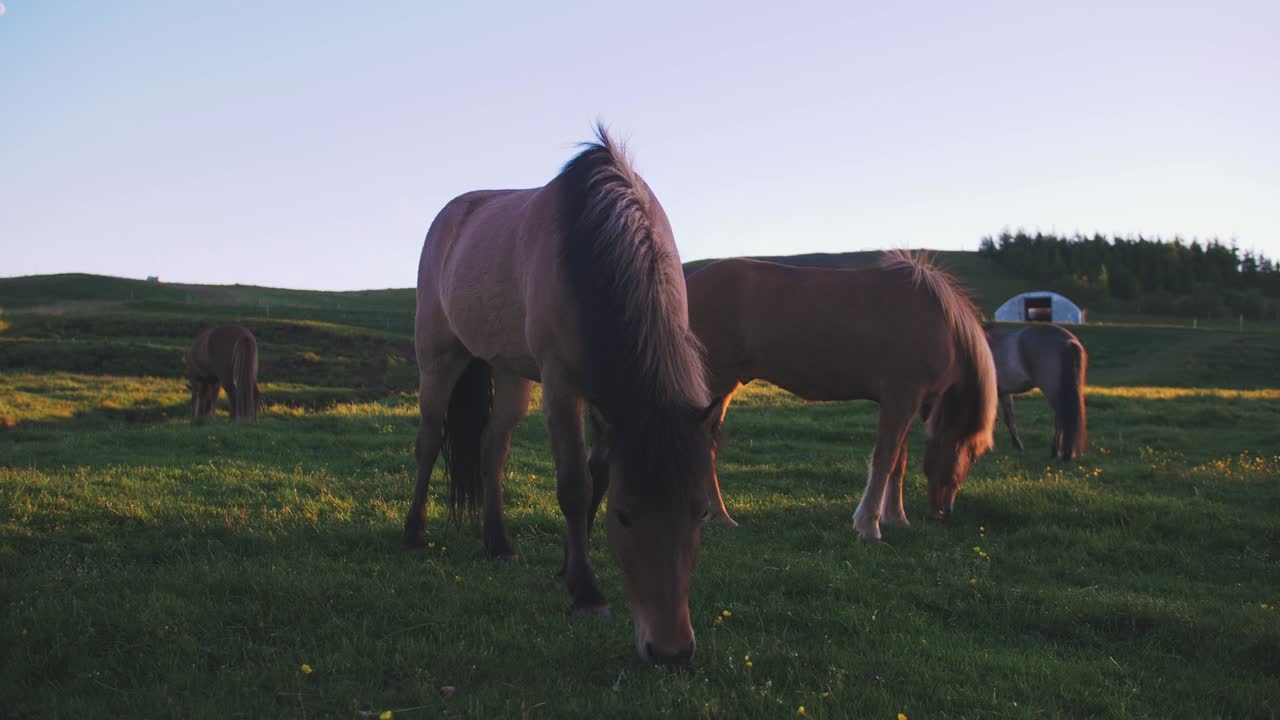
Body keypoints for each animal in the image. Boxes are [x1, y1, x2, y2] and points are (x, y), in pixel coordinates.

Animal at [402, 127, 719, 665]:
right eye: (624, 516)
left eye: (700, 512)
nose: (671, 651)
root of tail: (453, 214)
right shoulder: (561, 385)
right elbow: (574, 485)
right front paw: (587, 592)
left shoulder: (603, 404)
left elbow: (596, 477)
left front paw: (566, 571)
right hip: (439, 357)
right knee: (428, 442)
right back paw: (413, 532)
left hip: (511, 373)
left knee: (492, 449)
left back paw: (498, 543)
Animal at [685, 253, 998, 539]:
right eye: (973, 454)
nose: (943, 513)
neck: (939, 321)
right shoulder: (901, 397)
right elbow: (885, 458)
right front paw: (869, 525)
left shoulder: (907, 401)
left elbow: (899, 461)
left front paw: (896, 518)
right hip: (717, 381)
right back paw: (720, 516)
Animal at [984, 323, 1088, 461]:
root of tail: (1068, 341)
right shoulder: (1004, 392)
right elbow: (1009, 419)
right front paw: (1017, 446)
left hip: (1053, 391)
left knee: (1061, 416)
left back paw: (1058, 451)